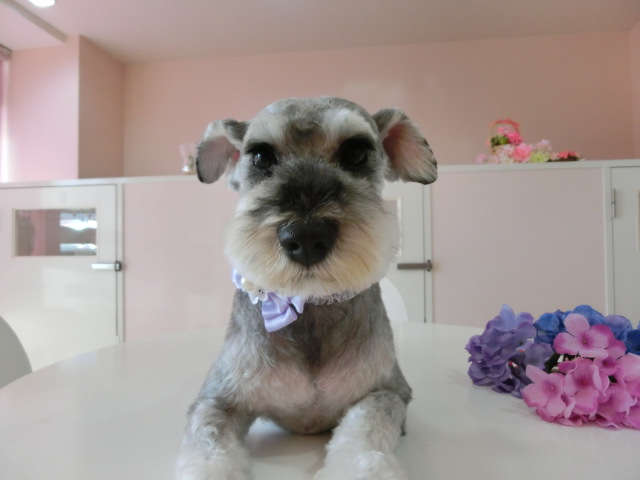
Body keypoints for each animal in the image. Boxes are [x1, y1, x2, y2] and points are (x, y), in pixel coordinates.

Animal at [176, 97, 437, 480]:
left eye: (355, 152)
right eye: (260, 156)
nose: (306, 236)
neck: (310, 308)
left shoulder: (386, 391)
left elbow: (365, 429)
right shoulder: (216, 400)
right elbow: (208, 444)